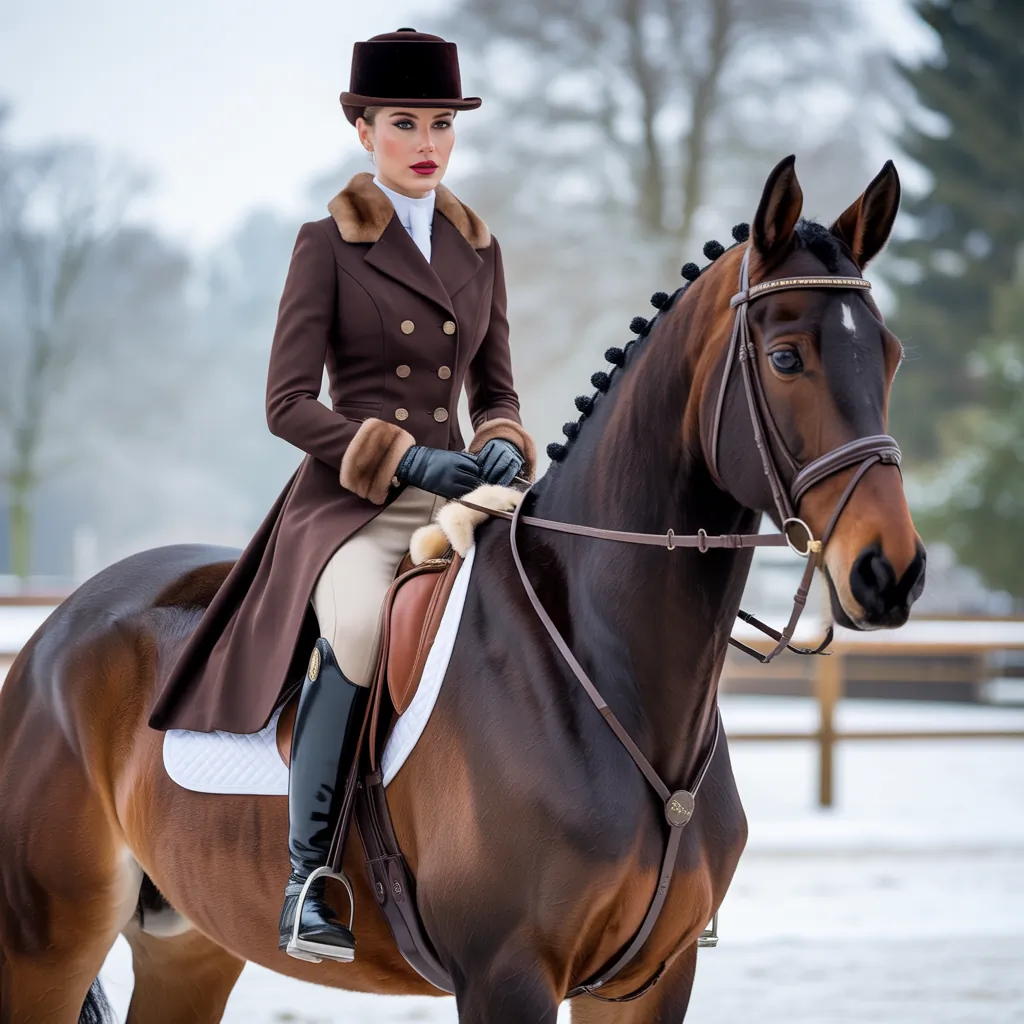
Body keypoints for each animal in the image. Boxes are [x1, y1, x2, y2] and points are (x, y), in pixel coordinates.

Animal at [0, 155, 925, 1023]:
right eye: (786, 358)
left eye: (890, 355)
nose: (891, 573)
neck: (604, 667)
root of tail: (58, 627)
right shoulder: (505, 977)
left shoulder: (650, 982)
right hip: (47, 944)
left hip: (189, 945)